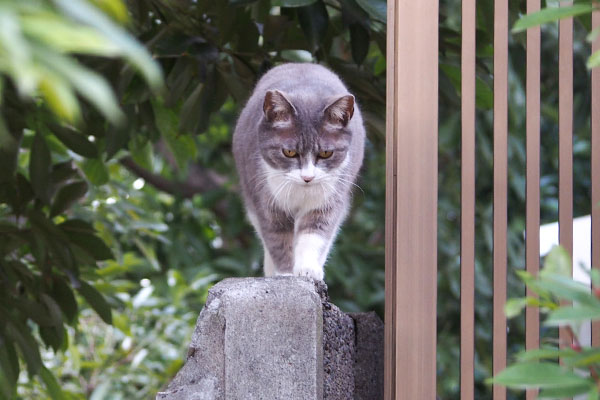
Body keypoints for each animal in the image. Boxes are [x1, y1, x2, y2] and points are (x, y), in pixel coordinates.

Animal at [233, 63, 366, 282]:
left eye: (326, 153)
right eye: (289, 152)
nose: (308, 177)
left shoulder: (328, 201)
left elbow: (315, 233)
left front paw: (308, 269)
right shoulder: (267, 200)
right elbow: (277, 238)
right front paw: (285, 274)